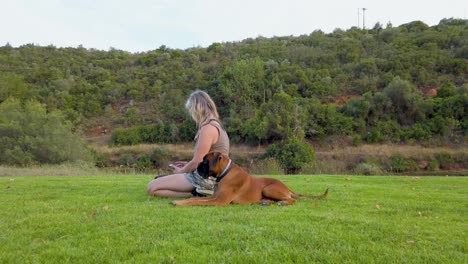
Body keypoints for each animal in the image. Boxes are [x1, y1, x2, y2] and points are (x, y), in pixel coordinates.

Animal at [170, 152, 328, 205]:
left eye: (205, 162)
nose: (196, 167)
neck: (225, 173)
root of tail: (286, 187)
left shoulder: (220, 201)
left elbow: (196, 201)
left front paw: (180, 203)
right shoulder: (214, 197)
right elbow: (194, 199)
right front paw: (180, 201)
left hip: (269, 188)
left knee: (292, 200)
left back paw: (282, 202)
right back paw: (265, 202)